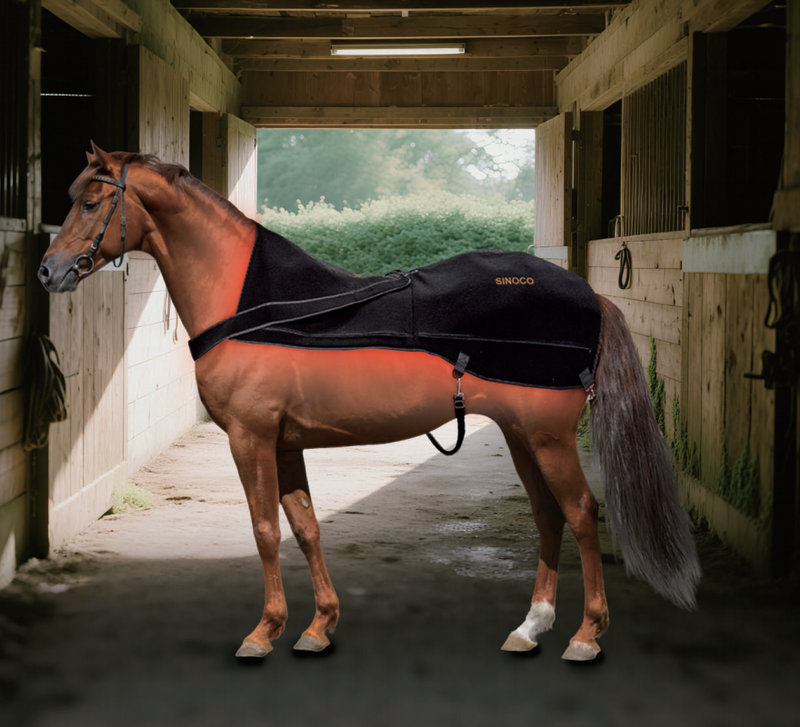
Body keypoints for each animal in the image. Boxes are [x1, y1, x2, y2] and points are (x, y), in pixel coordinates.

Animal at [38, 144, 700, 662]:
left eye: (91, 203)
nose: (49, 271)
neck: (256, 303)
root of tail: (589, 295)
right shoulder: (284, 444)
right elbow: (304, 527)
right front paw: (318, 626)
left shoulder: (251, 437)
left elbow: (263, 529)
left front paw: (263, 632)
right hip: (522, 435)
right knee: (548, 515)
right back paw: (530, 627)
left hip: (549, 437)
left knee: (582, 512)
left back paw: (586, 635)